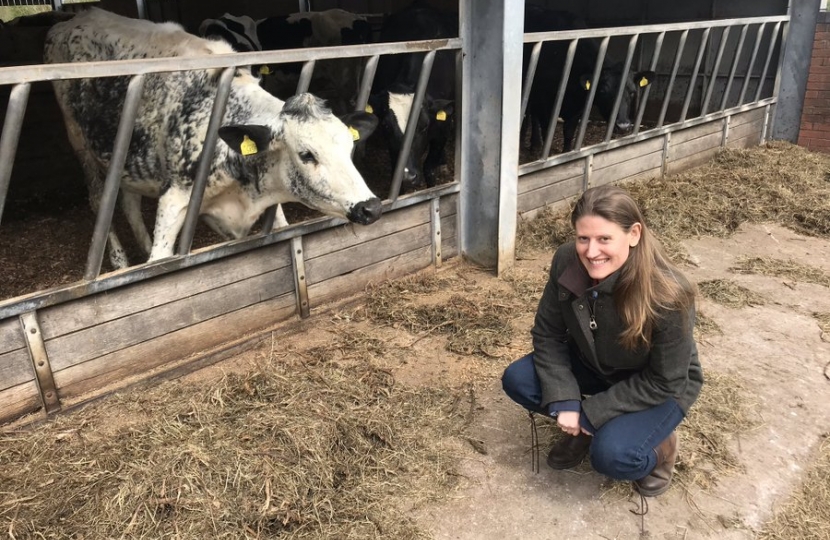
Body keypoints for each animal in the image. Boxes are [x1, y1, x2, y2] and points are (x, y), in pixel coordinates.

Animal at [44, 8, 382, 270]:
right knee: (98, 199)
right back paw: (119, 260)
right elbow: (161, 256)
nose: (370, 207)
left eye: (349, 147)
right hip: (80, 142)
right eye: (307, 154)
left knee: (128, 201)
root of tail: (75, 18)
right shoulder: (175, 198)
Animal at [528, 5, 656, 154]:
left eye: (632, 92)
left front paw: (567, 153)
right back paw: (535, 145)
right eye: (603, 92)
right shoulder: (544, 101)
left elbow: (569, 133)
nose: (623, 126)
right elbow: (546, 132)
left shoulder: (577, 108)